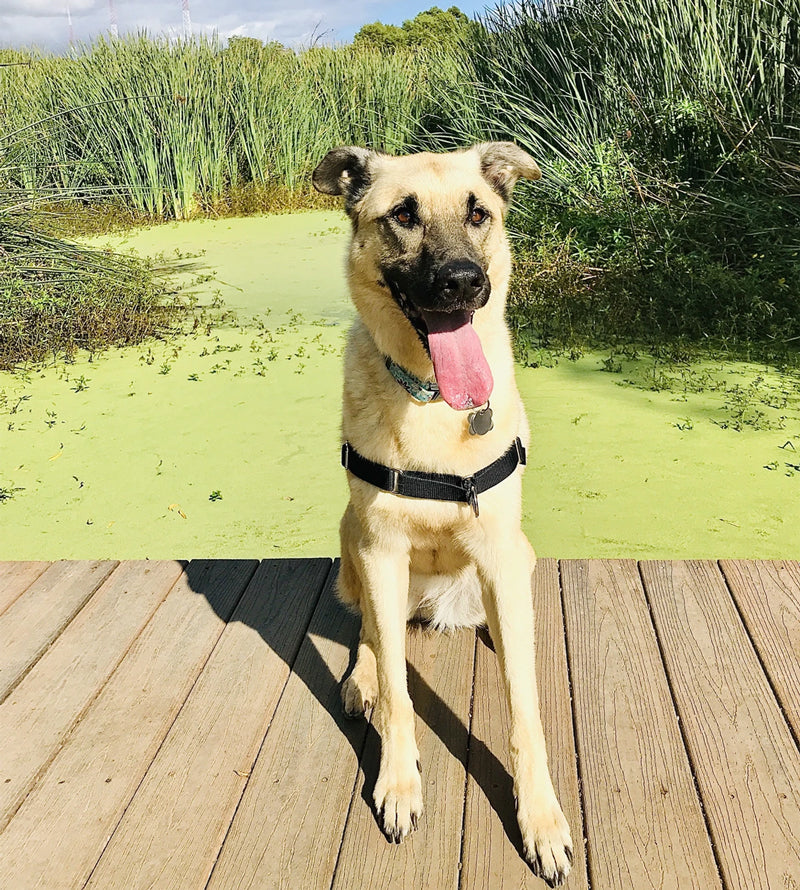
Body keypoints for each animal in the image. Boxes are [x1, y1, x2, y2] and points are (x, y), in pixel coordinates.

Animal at [316, 142, 572, 884]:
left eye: (478, 213)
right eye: (403, 215)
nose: (463, 282)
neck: (431, 399)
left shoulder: (499, 552)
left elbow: (524, 710)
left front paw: (540, 817)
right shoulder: (381, 549)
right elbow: (401, 694)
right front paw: (399, 784)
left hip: (516, 557)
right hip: (353, 542)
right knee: (372, 636)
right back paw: (362, 678)